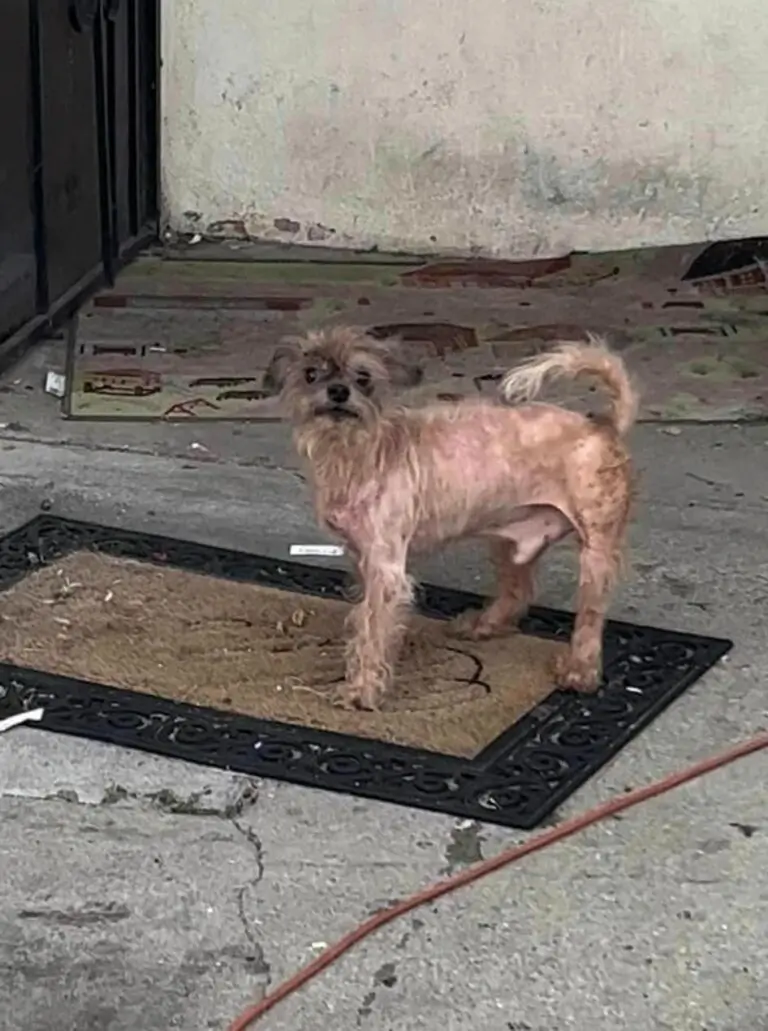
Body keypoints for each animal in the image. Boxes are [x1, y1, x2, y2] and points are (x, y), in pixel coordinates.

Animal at [264, 326, 638, 710]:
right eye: (310, 374)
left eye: (363, 377)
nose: (338, 391)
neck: (358, 451)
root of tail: (603, 425)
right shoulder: (362, 560)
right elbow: (362, 621)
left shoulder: (386, 571)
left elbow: (373, 632)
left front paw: (362, 692)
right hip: (509, 542)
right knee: (518, 590)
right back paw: (483, 625)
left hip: (595, 552)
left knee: (590, 617)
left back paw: (580, 673)